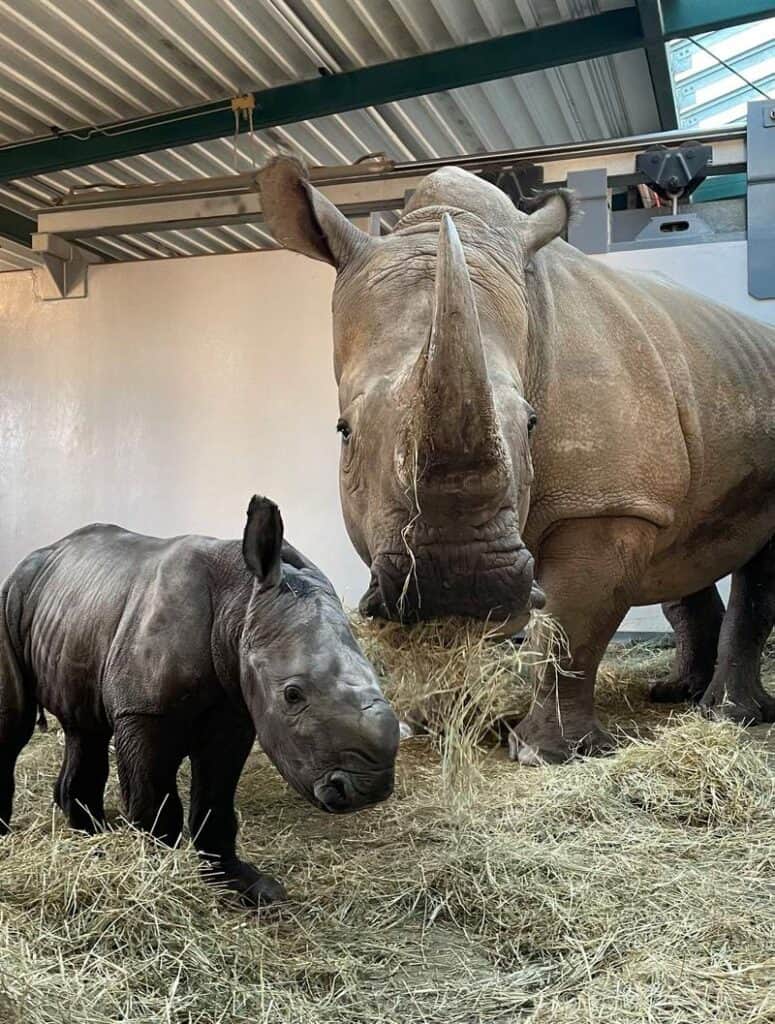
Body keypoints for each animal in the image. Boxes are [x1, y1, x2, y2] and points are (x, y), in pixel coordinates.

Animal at [0, 497, 399, 905]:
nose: (368, 789)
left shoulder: (235, 713)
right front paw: (157, 877)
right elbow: (154, 800)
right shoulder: (143, 711)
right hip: (10, 594)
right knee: (14, 726)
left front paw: (246, 885)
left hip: (79, 611)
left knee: (84, 727)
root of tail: (40, 555)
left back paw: (90, 834)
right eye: (292, 694)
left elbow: (216, 797)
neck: (240, 602)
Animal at [260, 157, 775, 762]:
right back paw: (676, 694)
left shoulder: (605, 503)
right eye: (344, 434)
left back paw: (728, 715)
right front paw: (435, 725)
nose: (459, 579)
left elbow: (572, 629)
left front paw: (544, 753)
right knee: (681, 546)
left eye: (532, 424)